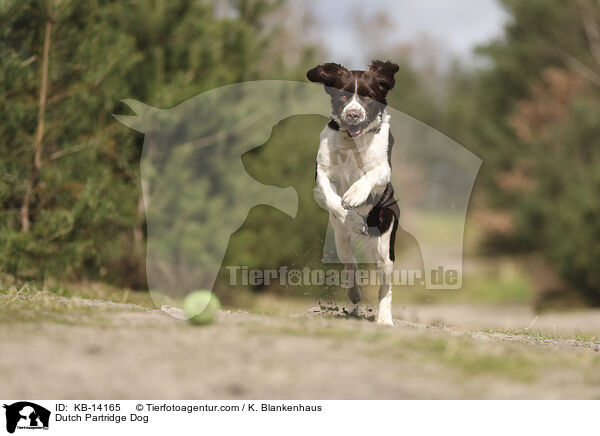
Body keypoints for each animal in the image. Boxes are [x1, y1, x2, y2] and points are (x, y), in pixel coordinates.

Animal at [308, 59, 400, 326]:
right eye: (343, 95)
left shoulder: (383, 170)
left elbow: (371, 175)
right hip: (340, 240)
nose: (353, 114)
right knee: (351, 263)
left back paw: (384, 319)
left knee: (385, 286)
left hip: (385, 245)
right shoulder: (322, 171)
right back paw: (355, 293)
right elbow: (332, 198)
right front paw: (352, 217)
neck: (352, 140)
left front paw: (355, 195)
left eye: (368, 96)